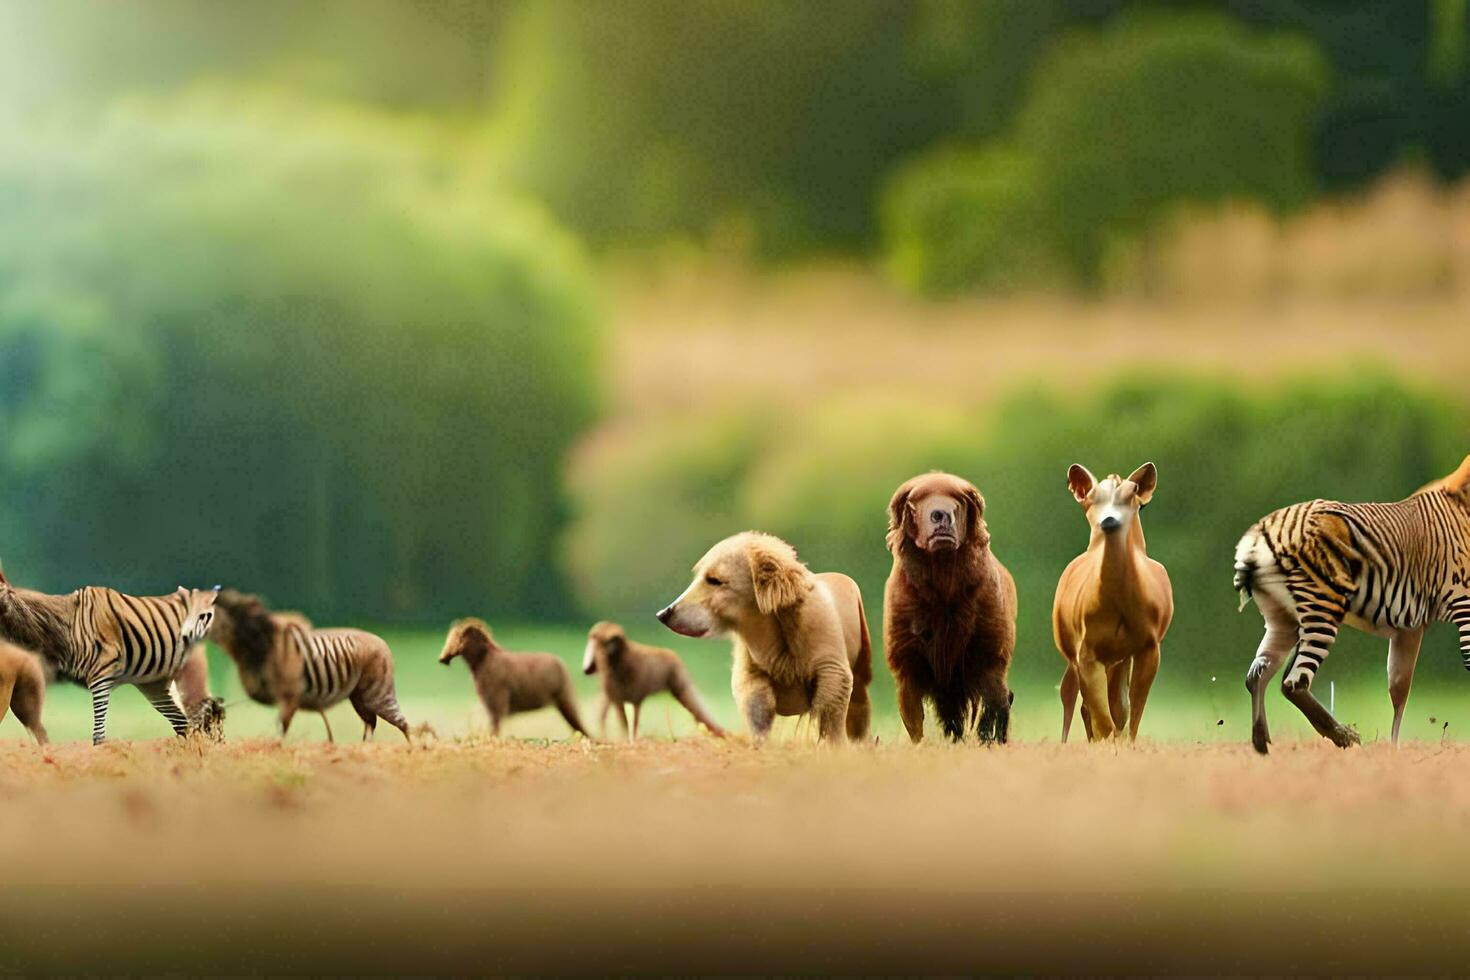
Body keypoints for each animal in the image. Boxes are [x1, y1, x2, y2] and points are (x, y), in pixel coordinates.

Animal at [438, 620, 588, 734]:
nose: (442, 658)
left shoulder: (497, 707)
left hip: (566, 700)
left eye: (458, 638)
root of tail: (561, 663)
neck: (482, 661)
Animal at [582, 625, 726, 740]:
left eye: (611, 641)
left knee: (695, 707)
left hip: (679, 684)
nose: (587, 668)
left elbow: (631, 722)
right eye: (592, 640)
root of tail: (674, 655)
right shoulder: (616, 697)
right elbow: (622, 721)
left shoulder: (635, 698)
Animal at [658, 531, 870, 740]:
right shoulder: (752, 660)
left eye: (715, 580)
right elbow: (757, 704)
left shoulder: (826, 650)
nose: (664, 613)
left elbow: (831, 703)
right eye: (698, 575)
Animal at [876, 470, 1017, 740]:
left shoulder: (989, 655)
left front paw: (988, 739)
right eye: (914, 502)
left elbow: (993, 707)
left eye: (959, 500)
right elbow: (915, 719)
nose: (940, 515)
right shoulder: (908, 663)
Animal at [1228, 455, 1470, 758]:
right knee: (1293, 683)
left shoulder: (1411, 627)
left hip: (1285, 619)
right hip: (1322, 609)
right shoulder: (1461, 605)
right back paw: (1342, 736)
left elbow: (1399, 690)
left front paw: (1393, 751)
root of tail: (1261, 535)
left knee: (1259, 675)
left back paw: (1263, 743)